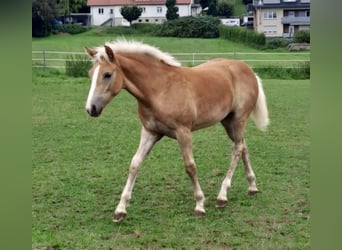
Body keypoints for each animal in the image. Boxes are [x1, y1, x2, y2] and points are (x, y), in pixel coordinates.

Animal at [84, 39, 268, 223]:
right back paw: (252, 187)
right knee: (242, 147)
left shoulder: (183, 132)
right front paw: (120, 210)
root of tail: (248, 69)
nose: (91, 109)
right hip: (228, 122)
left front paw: (199, 205)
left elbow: (190, 166)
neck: (160, 89)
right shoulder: (149, 132)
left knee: (237, 150)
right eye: (90, 74)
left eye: (107, 74)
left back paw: (222, 196)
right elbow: (135, 164)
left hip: (238, 119)